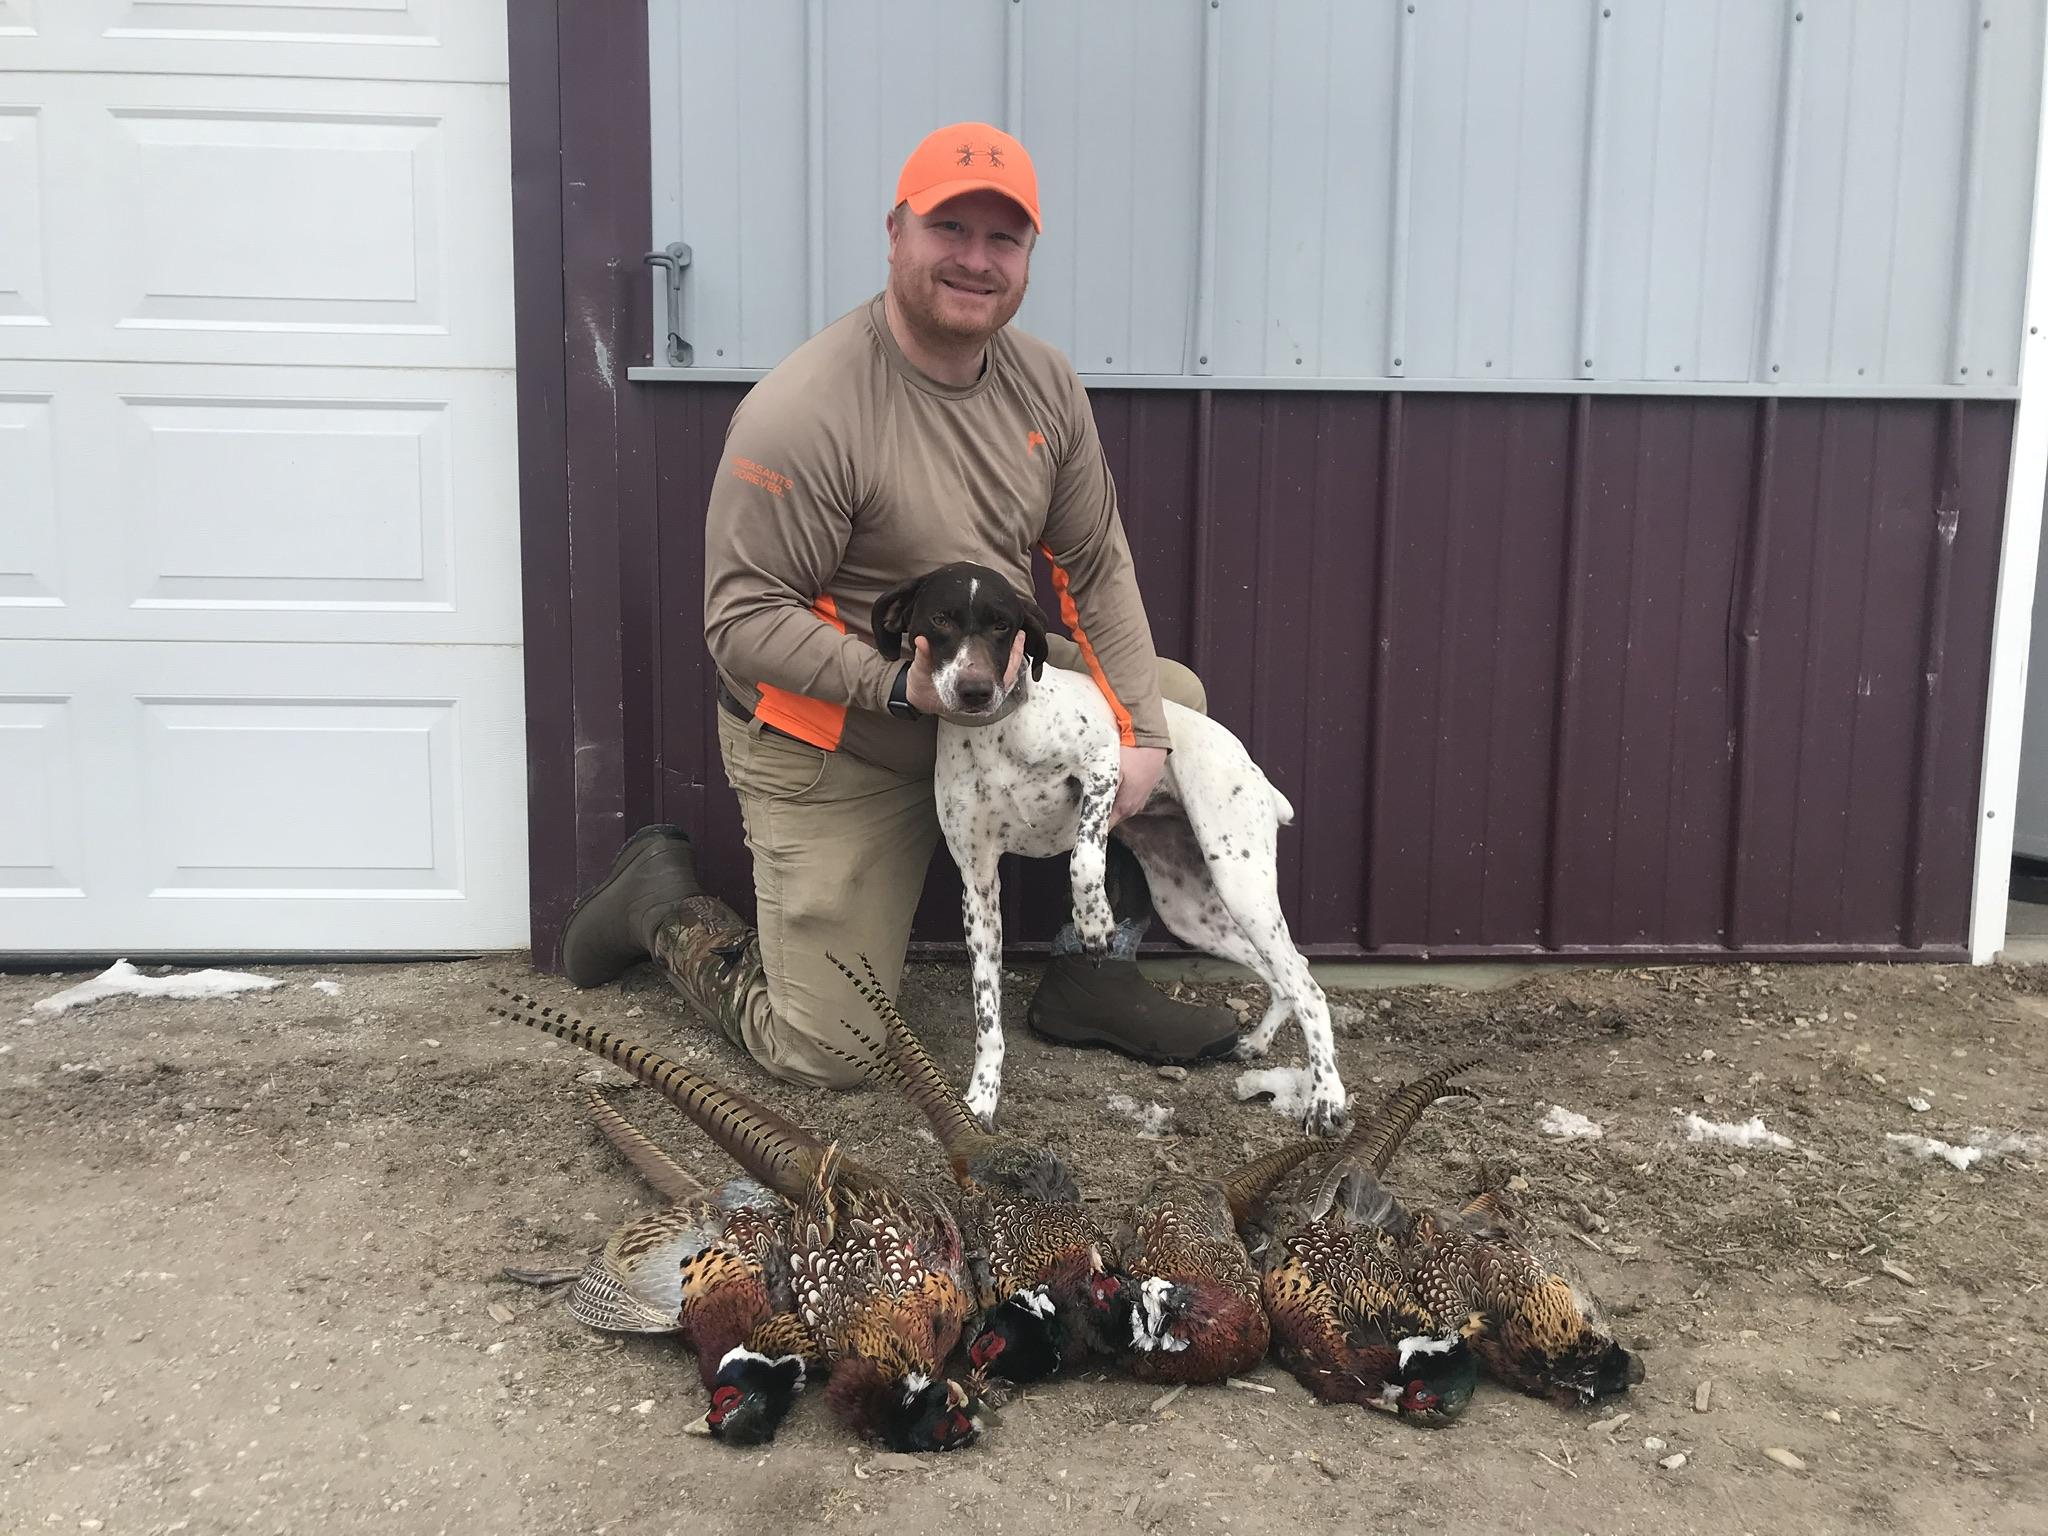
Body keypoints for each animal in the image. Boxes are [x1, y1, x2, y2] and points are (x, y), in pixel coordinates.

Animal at [871, 561, 1349, 1138]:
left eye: (1002, 625)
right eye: (939, 619)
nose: (975, 691)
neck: (999, 735)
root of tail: (1253, 770)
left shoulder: (1103, 768)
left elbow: (1084, 860)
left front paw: (1096, 924)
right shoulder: (978, 885)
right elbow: (987, 1017)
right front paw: (981, 1099)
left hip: (1242, 886)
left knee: (1309, 987)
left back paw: (1326, 1097)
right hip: (1191, 910)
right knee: (1289, 970)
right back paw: (1256, 1043)